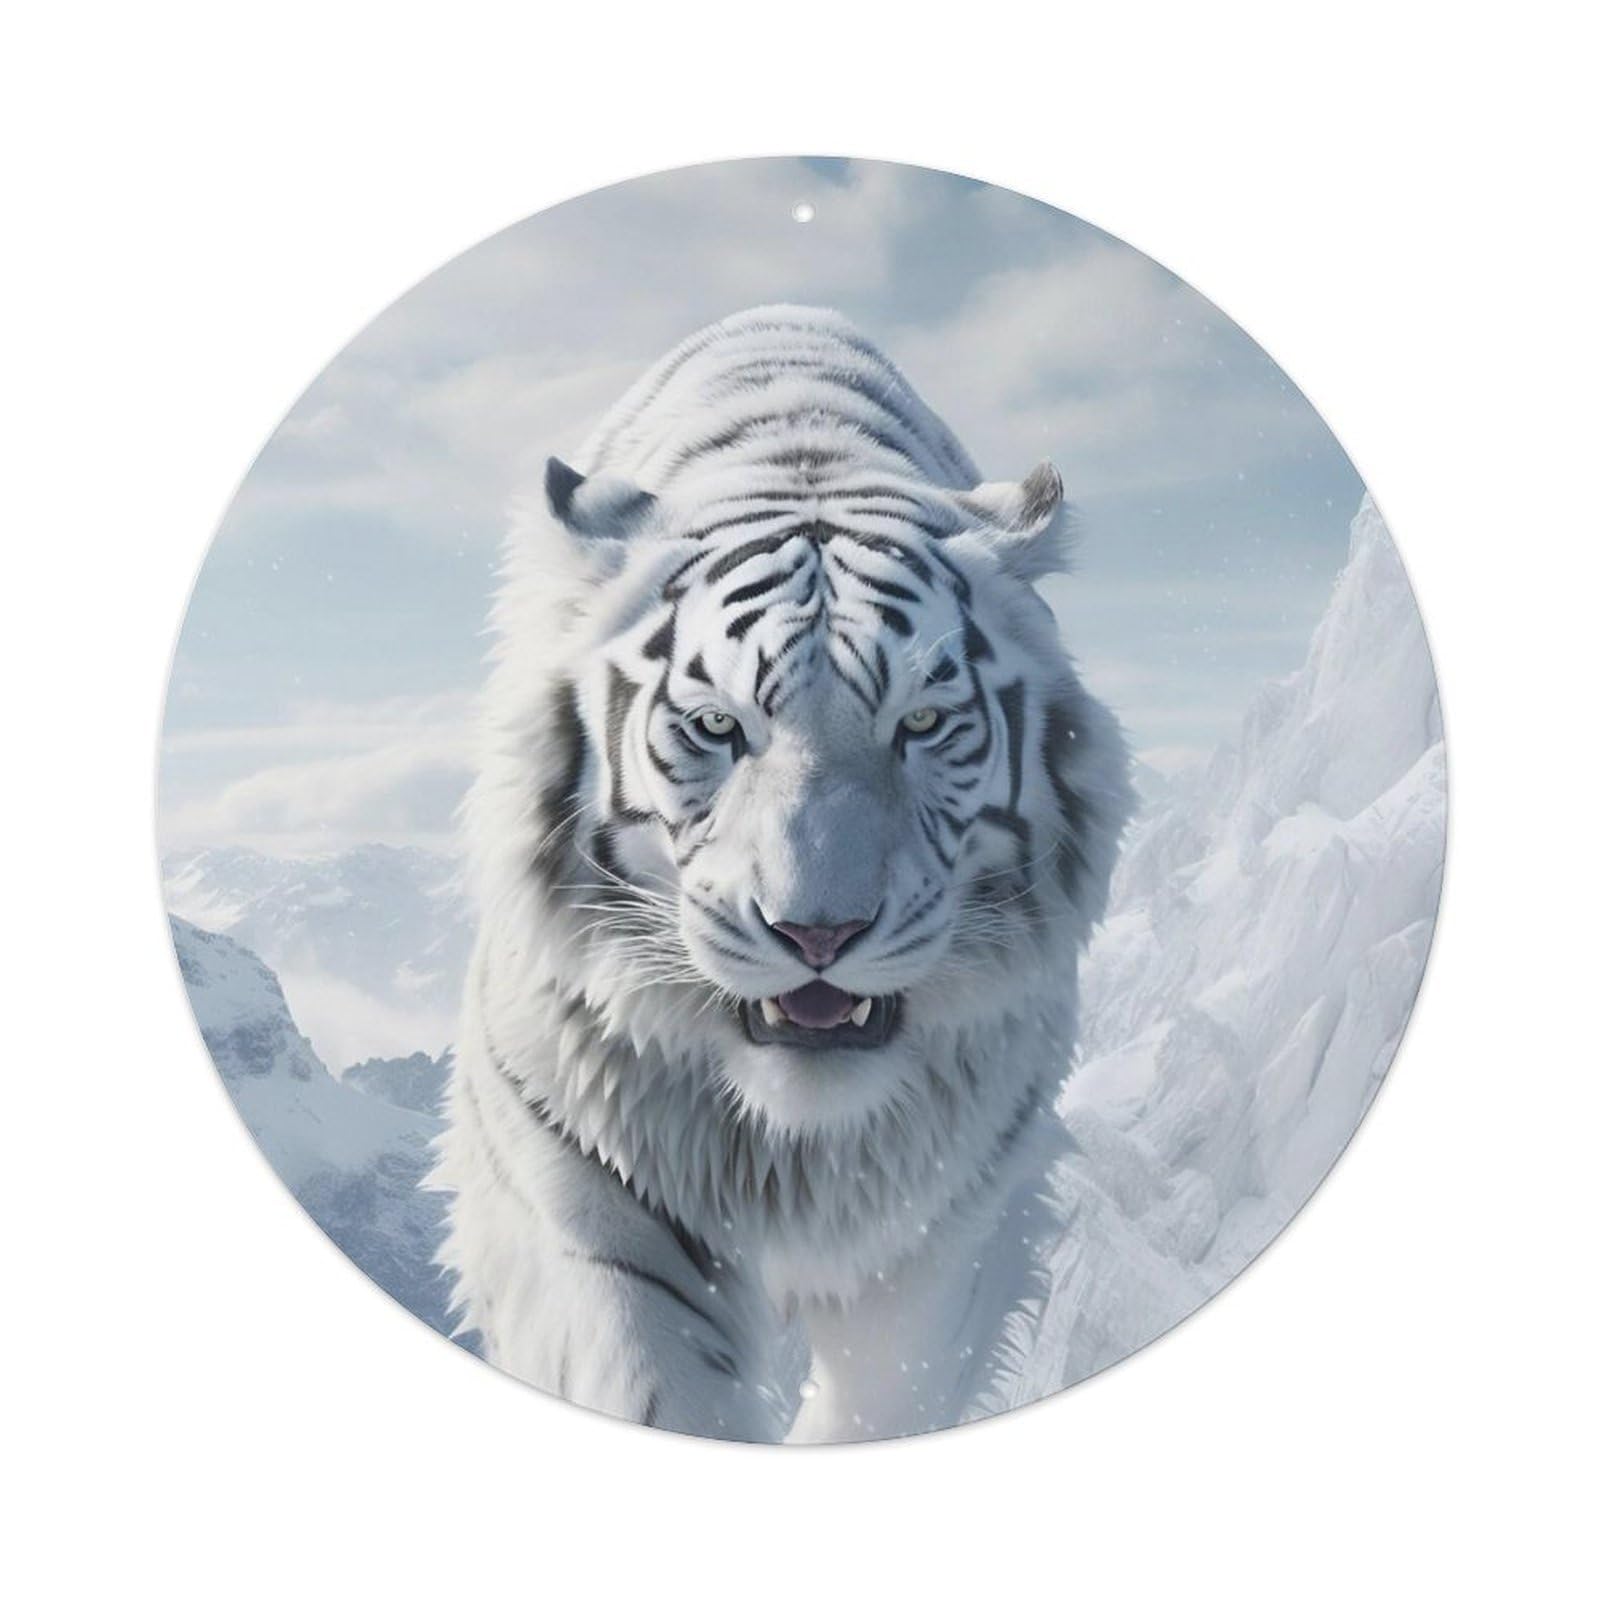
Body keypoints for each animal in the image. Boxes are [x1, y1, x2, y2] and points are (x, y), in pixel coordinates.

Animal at [431, 305, 1132, 1442]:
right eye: (718, 727)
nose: (817, 934)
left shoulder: (948, 1223)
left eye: (921, 723)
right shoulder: (576, 1180)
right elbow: (651, 1385)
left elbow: (885, 1396)